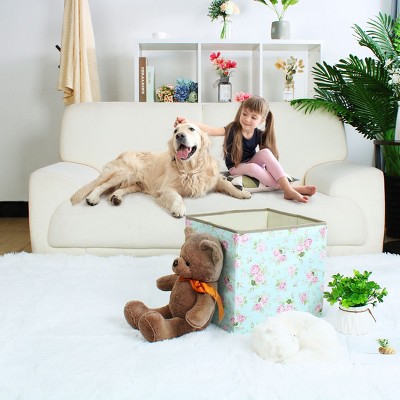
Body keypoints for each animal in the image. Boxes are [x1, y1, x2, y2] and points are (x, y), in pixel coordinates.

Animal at [70, 123, 251, 217]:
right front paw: (179, 209)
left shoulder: (211, 179)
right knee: (100, 185)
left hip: (136, 182)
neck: (190, 169)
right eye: (176, 131)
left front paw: (241, 192)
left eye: (191, 129)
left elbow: (227, 184)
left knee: (120, 189)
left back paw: (116, 197)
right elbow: (178, 196)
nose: (179, 136)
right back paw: (93, 198)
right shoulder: (167, 188)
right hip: (125, 171)